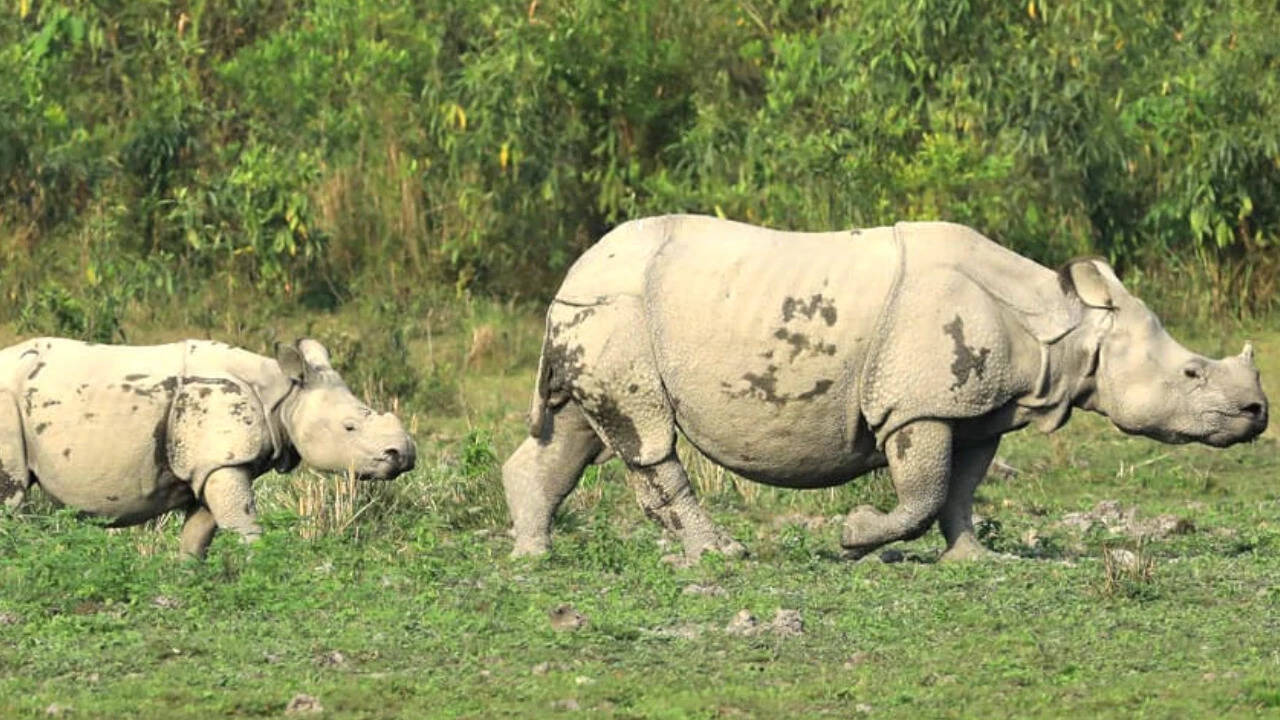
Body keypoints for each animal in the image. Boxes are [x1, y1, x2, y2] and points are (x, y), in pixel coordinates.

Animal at [0, 337, 416, 557]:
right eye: (349, 427)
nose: (405, 455)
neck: (283, 395)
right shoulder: (223, 458)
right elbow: (242, 522)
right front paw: (262, 567)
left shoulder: (211, 466)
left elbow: (199, 532)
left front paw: (185, 576)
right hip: (6, 402)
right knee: (11, 493)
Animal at [503, 215, 1268, 562]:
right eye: (1192, 373)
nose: (1258, 413)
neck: (1062, 326)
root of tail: (572, 271)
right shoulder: (916, 404)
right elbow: (924, 492)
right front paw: (854, 537)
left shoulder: (979, 408)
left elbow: (961, 490)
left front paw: (976, 559)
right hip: (619, 310)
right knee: (646, 435)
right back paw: (721, 555)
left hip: (600, 315)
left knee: (577, 432)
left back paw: (534, 555)